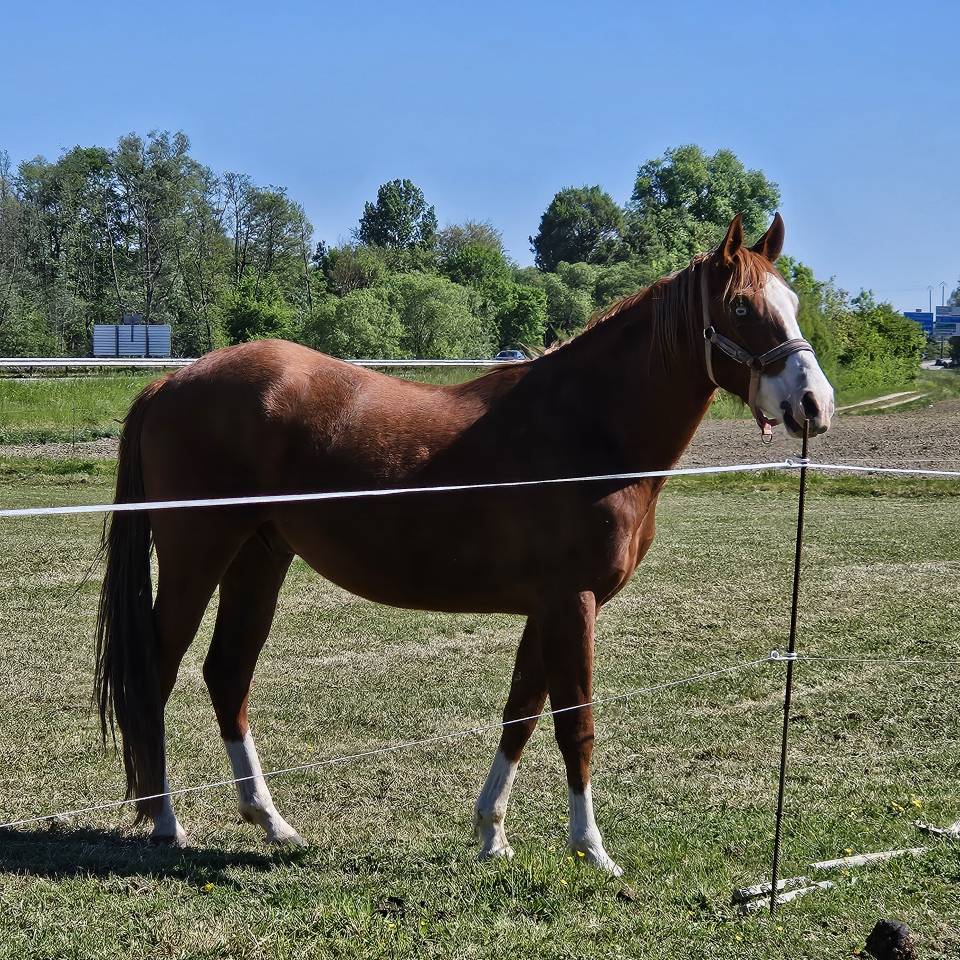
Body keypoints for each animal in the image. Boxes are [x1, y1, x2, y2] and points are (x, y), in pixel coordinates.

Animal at [95, 213, 834, 875]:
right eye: (740, 307)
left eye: (793, 304)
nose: (815, 405)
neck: (587, 428)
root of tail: (169, 381)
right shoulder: (573, 603)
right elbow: (575, 723)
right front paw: (591, 849)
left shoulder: (548, 607)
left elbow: (521, 716)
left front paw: (492, 834)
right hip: (197, 559)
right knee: (155, 671)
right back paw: (165, 821)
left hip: (259, 557)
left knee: (227, 673)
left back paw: (270, 821)